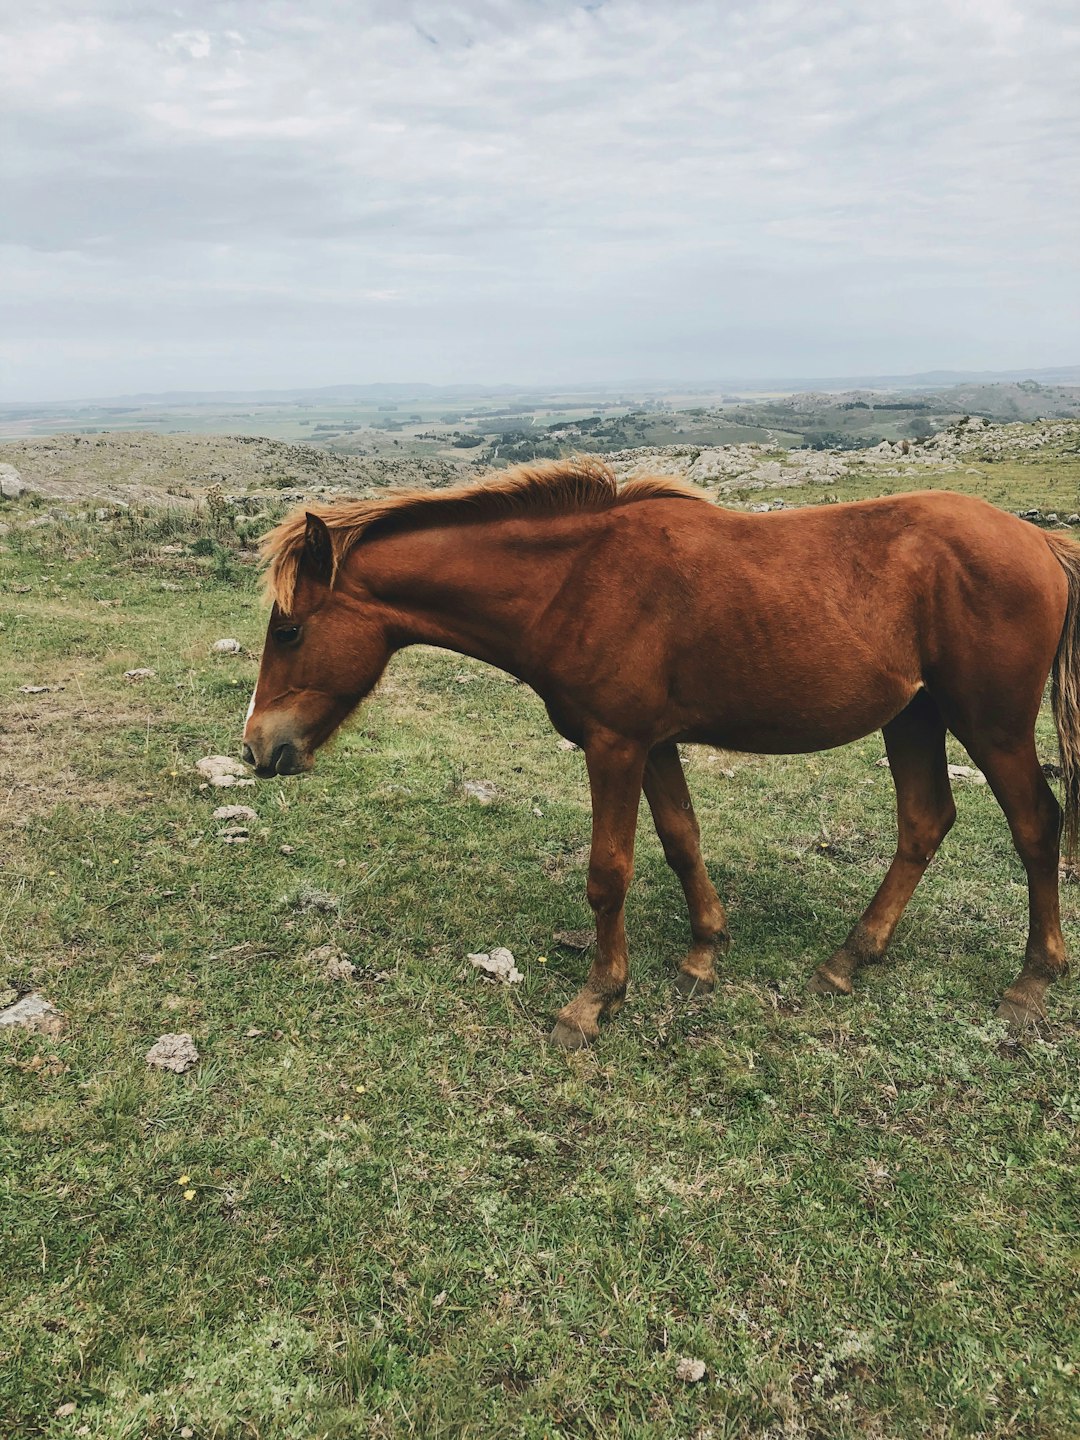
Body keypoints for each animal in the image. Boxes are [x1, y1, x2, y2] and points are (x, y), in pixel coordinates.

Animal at [243, 457, 1080, 1048]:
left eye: (289, 630)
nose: (258, 748)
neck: (576, 581)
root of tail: (1038, 539)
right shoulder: (654, 743)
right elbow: (681, 841)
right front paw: (704, 951)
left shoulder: (615, 744)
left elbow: (608, 873)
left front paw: (594, 1001)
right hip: (914, 715)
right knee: (924, 822)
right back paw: (850, 958)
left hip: (992, 726)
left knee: (1036, 826)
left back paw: (1031, 984)